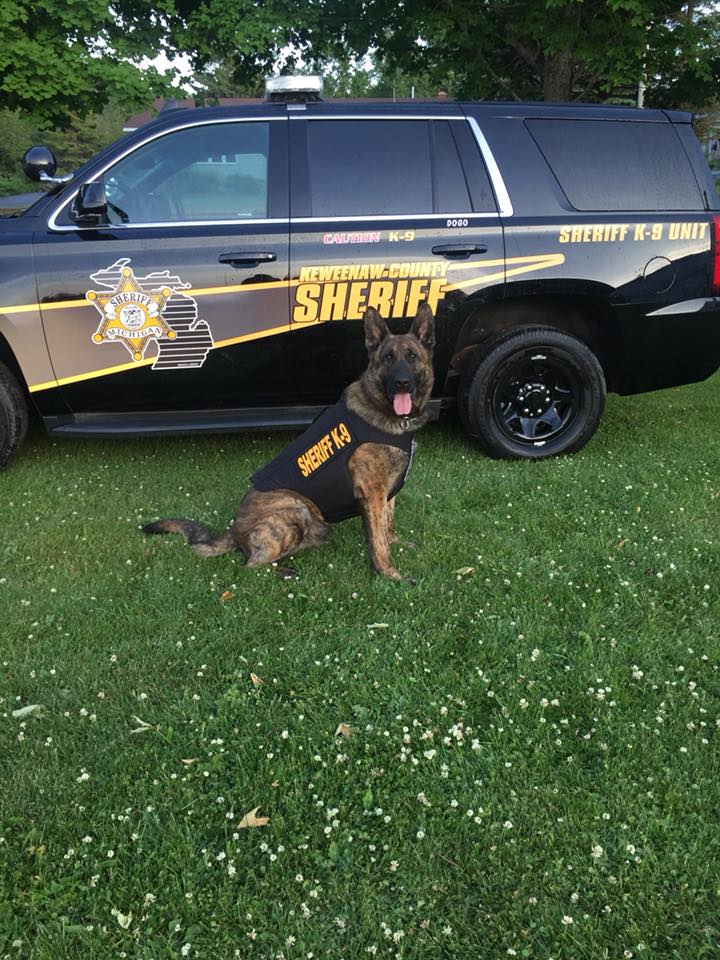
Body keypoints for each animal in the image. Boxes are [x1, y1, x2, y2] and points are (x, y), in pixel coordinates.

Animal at [141, 304, 434, 580]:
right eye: (387, 358)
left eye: (412, 357)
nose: (402, 383)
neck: (388, 415)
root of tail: (233, 529)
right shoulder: (372, 492)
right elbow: (378, 540)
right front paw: (390, 575)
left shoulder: (387, 491)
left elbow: (387, 525)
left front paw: (397, 544)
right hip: (295, 508)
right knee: (249, 566)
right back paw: (284, 572)